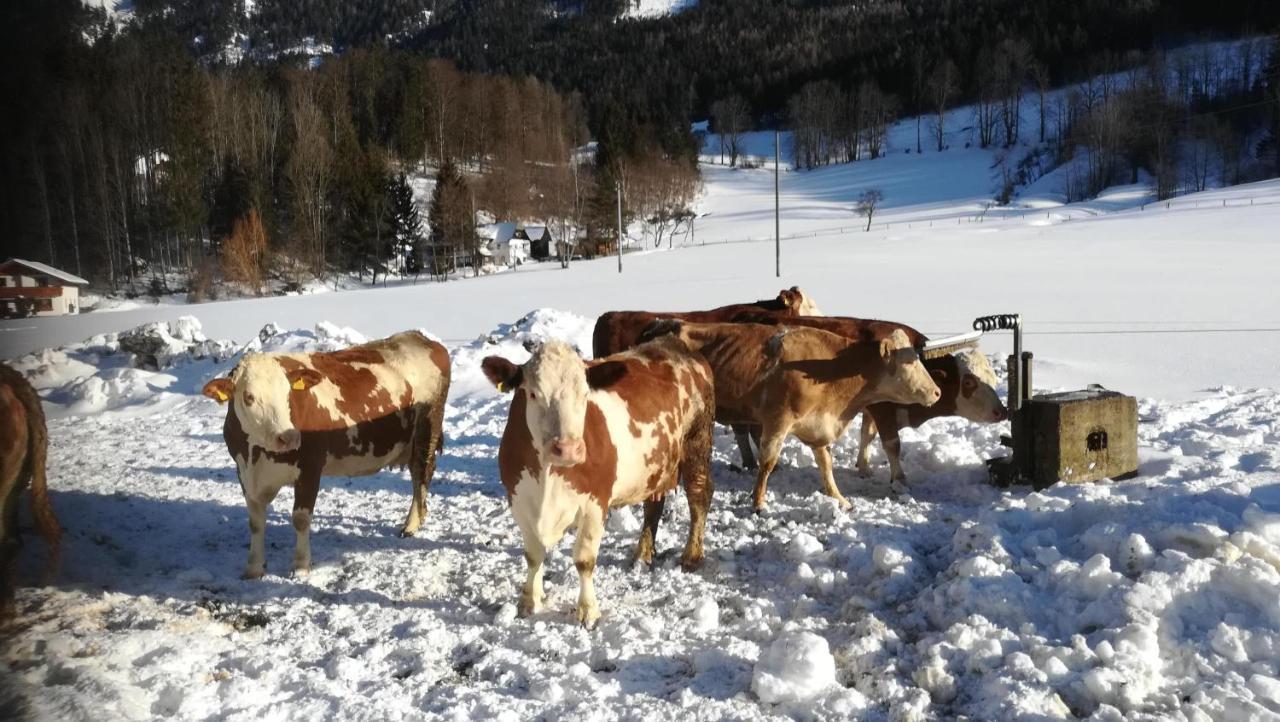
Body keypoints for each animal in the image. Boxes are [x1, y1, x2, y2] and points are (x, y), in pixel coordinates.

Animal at [202, 330, 453, 578]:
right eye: (249, 397)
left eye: (287, 393)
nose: (289, 437)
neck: (257, 453)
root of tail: (420, 338)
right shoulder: (244, 472)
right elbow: (255, 522)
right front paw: (254, 568)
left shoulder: (310, 468)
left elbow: (301, 519)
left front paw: (300, 566)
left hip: (427, 429)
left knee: (421, 473)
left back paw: (411, 525)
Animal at [481, 337, 716, 627]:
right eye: (533, 394)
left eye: (584, 395)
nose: (568, 449)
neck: (547, 477)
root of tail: (675, 344)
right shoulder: (519, 500)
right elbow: (533, 555)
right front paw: (529, 600)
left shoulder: (595, 503)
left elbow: (584, 560)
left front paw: (587, 610)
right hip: (654, 468)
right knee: (653, 505)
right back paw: (642, 555)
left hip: (697, 443)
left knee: (699, 496)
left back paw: (691, 555)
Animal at [640, 321, 942, 512]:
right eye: (909, 362)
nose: (937, 392)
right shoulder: (778, 419)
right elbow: (767, 461)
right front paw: (758, 502)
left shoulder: (818, 425)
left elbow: (826, 465)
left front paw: (839, 499)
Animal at [727, 311, 1003, 483]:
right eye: (968, 382)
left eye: (992, 378)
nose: (1002, 411)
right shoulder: (883, 408)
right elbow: (892, 443)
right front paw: (899, 480)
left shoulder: (871, 408)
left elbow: (867, 435)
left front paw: (864, 466)